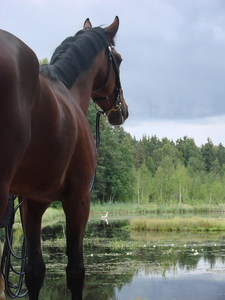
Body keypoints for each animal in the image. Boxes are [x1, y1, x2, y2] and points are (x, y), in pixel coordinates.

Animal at [0, 17, 128, 300]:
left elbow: (34, 271)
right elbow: (76, 270)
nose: (122, 111)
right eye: (119, 59)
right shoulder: (78, 199)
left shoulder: (32, 203)